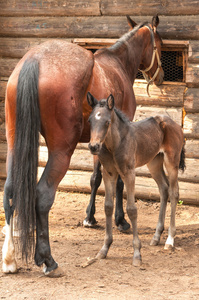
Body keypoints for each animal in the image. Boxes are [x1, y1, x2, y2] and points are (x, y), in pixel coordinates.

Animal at [1, 15, 163, 276]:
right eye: (159, 43)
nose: (160, 77)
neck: (118, 63)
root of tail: (35, 59)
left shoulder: (99, 144)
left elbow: (95, 179)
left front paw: (90, 217)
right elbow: (116, 182)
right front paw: (120, 221)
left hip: (15, 145)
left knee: (9, 190)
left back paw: (9, 259)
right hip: (61, 152)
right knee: (43, 195)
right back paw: (47, 260)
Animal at [87, 92, 185, 266]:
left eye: (107, 122)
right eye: (90, 121)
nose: (94, 146)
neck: (114, 144)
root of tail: (172, 122)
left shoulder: (129, 173)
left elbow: (132, 210)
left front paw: (137, 254)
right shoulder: (109, 173)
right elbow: (108, 207)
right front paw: (104, 250)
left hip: (171, 161)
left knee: (174, 193)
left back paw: (169, 240)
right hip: (154, 162)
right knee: (164, 189)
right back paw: (156, 237)